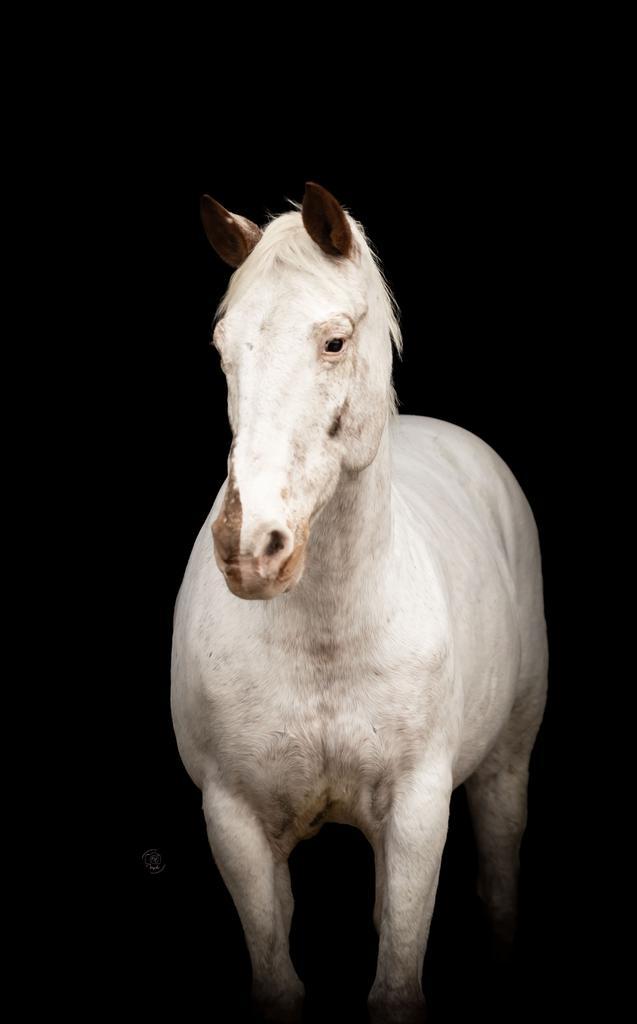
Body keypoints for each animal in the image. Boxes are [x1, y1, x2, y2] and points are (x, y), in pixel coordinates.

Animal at [170, 182, 548, 1023]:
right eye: (222, 349)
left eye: (334, 342)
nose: (252, 547)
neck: (326, 635)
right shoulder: (233, 823)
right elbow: (278, 984)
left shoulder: (417, 812)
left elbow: (396, 986)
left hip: (504, 768)